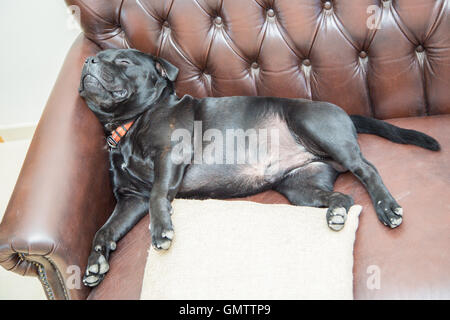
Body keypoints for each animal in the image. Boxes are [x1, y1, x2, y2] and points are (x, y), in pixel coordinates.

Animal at [78, 48, 440, 286]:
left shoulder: (170, 154)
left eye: (123, 61)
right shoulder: (130, 199)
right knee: (344, 198)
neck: (130, 125)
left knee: (367, 169)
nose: (88, 60)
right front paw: (96, 261)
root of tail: (345, 114)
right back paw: (336, 212)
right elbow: (104, 230)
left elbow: (157, 196)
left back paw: (387, 207)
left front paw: (161, 230)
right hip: (300, 186)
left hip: (313, 126)